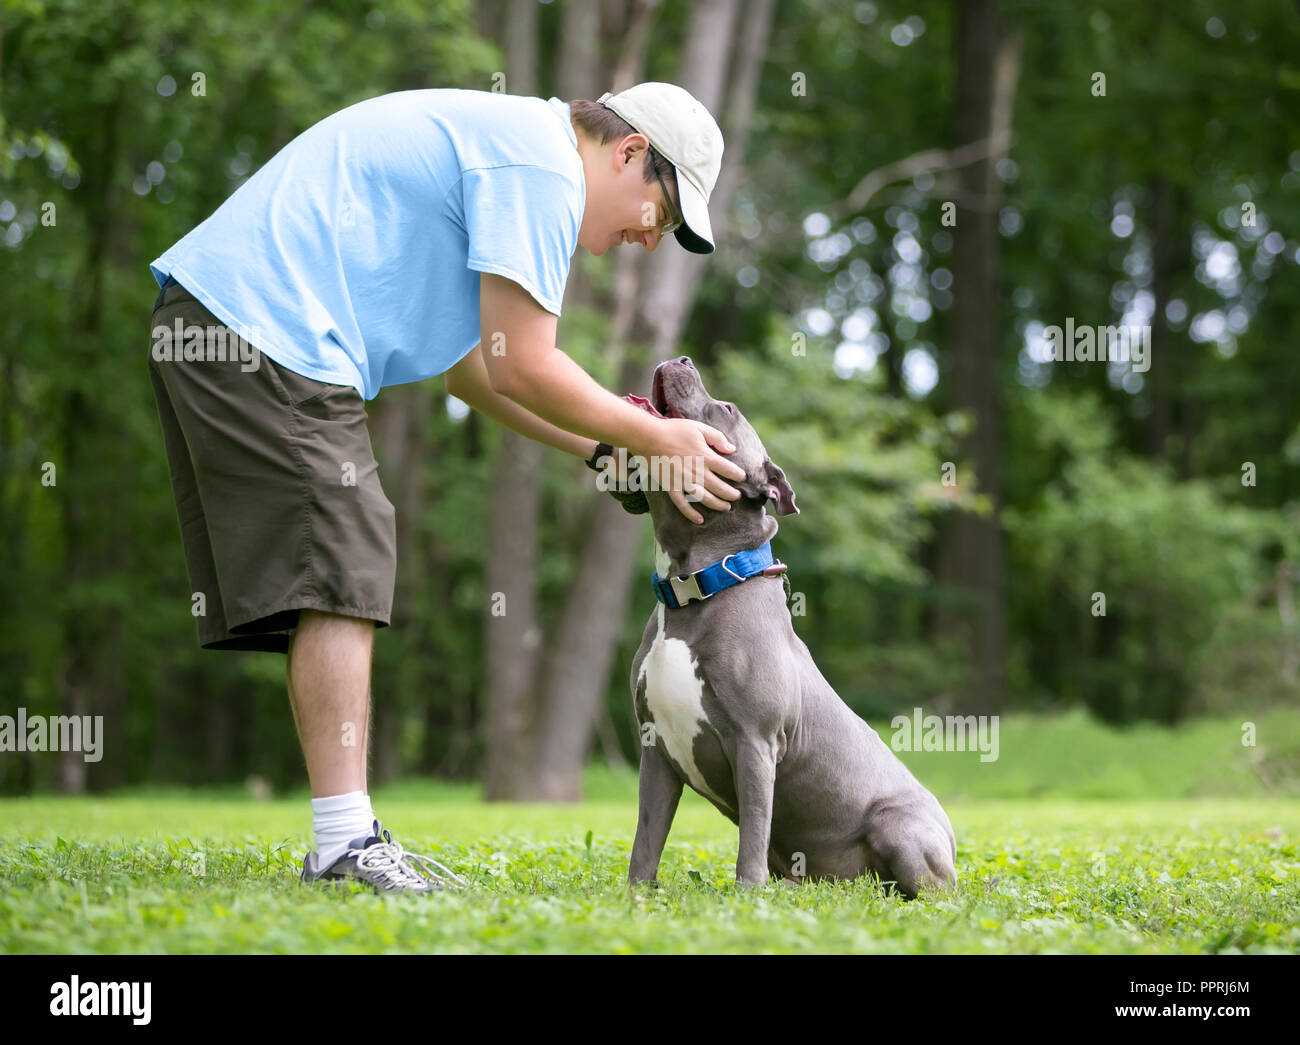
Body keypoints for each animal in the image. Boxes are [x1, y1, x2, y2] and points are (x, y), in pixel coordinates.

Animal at [624, 356, 961, 899]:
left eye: (726, 409)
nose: (683, 358)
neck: (694, 588)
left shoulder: (755, 743)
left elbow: (752, 836)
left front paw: (747, 898)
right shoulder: (657, 752)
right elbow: (647, 840)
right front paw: (635, 896)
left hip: (903, 829)